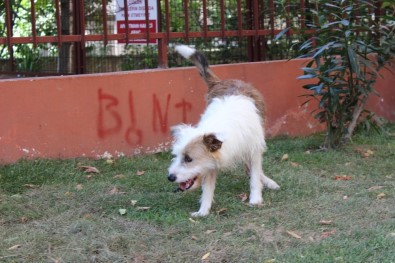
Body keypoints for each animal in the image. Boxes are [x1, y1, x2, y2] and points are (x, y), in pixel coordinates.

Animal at [169, 45, 280, 218]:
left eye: (188, 159)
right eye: (176, 156)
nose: (170, 177)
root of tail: (223, 81)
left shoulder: (254, 148)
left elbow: (255, 175)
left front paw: (255, 198)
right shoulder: (211, 162)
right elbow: (208, 188)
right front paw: (203, 211)